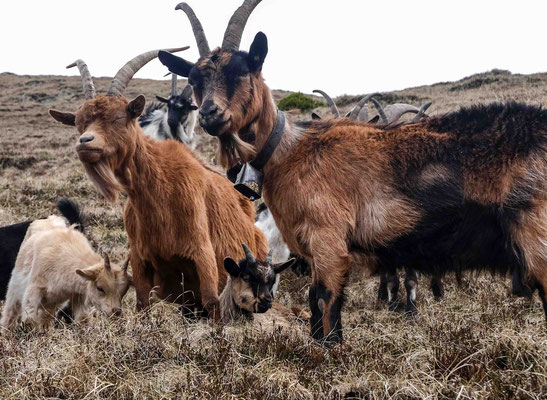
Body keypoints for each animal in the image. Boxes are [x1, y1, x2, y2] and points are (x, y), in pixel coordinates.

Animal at [0, 200, 133, 332]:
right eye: (100, 288)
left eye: (124, 290)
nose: (116, 313)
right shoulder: (34, 289)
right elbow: (30, 320)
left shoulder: (78, 295)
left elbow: (82, 319)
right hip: (15, 287)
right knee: (10, 312)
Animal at [50, 47, 268, 322]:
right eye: (79, 122)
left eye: (119, 117)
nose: (85, 142)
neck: (159, 187)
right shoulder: (140, 259)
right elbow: (142, 303)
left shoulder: (204, 255)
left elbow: (212, 301)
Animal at [161, 0, 547, 344]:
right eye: (194, 78)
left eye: (243, 69)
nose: (210, 113)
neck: (291, 152)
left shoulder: (329, 241)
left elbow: (324, 306)